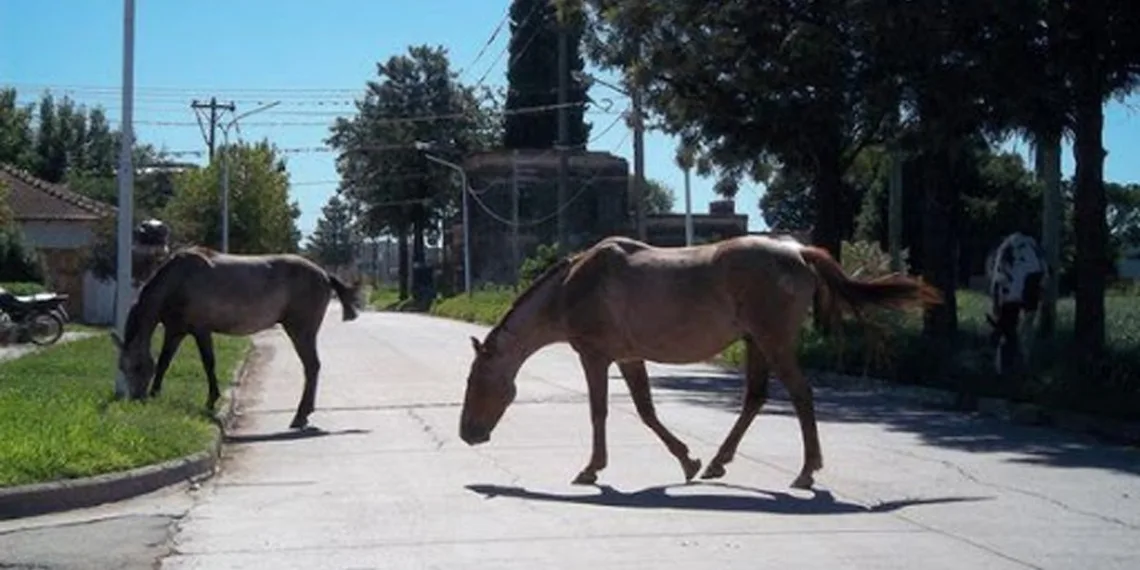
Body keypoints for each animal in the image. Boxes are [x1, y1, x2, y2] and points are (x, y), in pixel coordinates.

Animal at [110, 246, 360, 429]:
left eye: (137, 367)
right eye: (121, 367)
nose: (137, 399)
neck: (178, 280)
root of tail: (324, 274)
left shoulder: (201, 330)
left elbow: (208, 363)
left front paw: (211, 401)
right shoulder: (175, 331)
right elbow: (163, 362)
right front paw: (156, 395)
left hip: (301, 331)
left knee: (312, 366)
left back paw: (299, 416)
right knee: (312, 367)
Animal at [458, 235, 942, 490]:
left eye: (476, 381)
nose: (468, 434)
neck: (572, 287)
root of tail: (798, 251)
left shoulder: (595, 356)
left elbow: (600, 413)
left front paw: (591, 469)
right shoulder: (629, 357)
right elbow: (646, 411)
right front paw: (687, 461)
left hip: (773, 341)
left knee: (801, 395)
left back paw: (806, 472)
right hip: (755, 342)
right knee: (755, 398)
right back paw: (716, 463)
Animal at [984, 232, 1049, 374]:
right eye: (995, 342)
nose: (1000, 372)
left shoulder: (1031, 305)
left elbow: (1025, 331)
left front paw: (1025, 361)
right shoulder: (997, 301)